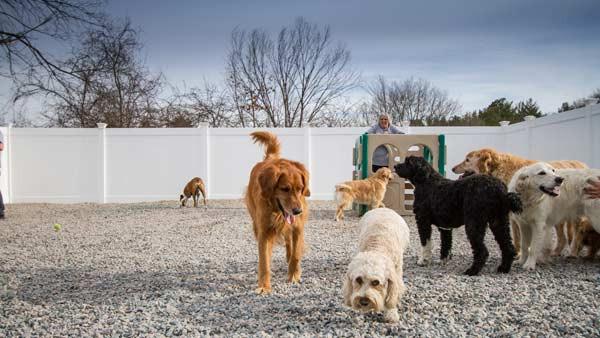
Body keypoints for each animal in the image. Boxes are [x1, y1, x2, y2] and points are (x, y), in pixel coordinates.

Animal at [245, 131, 310, 294]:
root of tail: (270, 158)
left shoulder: (298, 227)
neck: (277, 211)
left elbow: (296, 254)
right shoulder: (263, 232)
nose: (298, 211)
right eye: (285, 189)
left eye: (300, 188)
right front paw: (264, 286)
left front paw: (293, 275)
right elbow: (264, 260)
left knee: (289, 244)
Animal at [454, 148, 584, 256]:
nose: (452, 168)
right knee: (563, 238)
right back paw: (556, 252)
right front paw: (517, 253)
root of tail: (581, 163)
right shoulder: (514, 216)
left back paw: (573, 252)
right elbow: (517, 238)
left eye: (467, 160)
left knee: (577, 232)